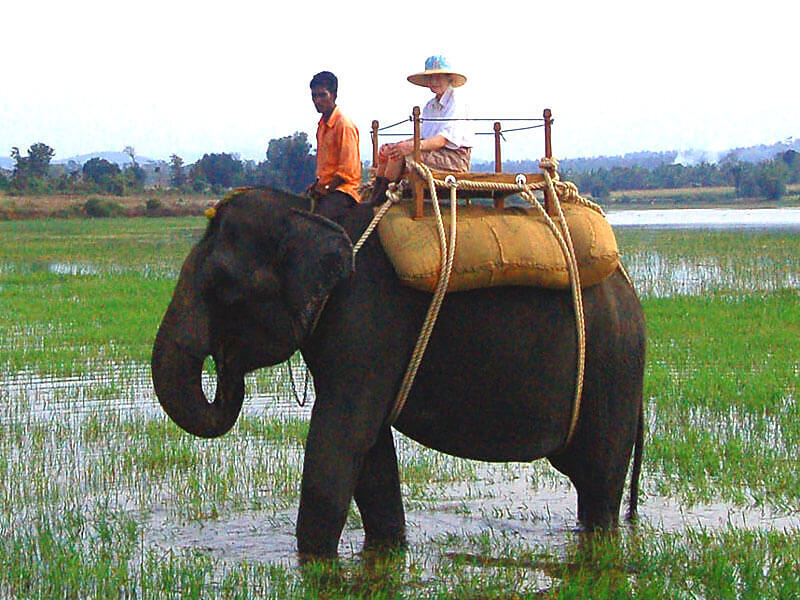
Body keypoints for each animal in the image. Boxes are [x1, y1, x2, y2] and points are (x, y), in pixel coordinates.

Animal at [151, 187, 646, 557]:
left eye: (223, 288)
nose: (225, 360)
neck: (308, 211)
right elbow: (370, 452)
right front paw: (389, 548)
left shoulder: (366, 317)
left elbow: (340, 437)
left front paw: (313, 561)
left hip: (612, 364)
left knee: (599, 481)